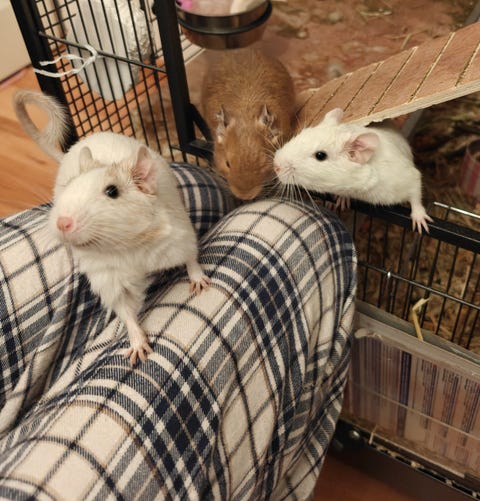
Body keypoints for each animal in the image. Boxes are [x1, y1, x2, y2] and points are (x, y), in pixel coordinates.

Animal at [14, 90, 210, 366]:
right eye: (68, 187)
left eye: (112, 192)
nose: (62, 222)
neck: (127, 245)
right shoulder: (108, 280)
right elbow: (125, 310)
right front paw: (137, 347)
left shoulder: (179, 237)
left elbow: (191, 258)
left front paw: (199, 282)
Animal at [273, 108, 433, 233]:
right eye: (302, 133)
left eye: (320, 155)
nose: (276, 166)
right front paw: (341, 200)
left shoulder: (404, 177)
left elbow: (415, 189)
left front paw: (420, 219)